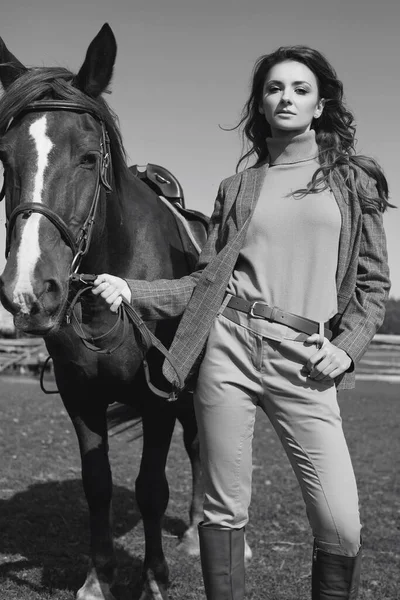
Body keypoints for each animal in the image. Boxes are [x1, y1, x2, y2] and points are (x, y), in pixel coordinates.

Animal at [0, 21, 209, 596]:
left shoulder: (160, 400)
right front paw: (97, 578)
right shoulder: (80, 396)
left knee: (200, 449)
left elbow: (150, 487)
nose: (29, 290)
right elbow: (98, 485)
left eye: (89, 157)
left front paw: (154, 579)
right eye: (4, 158)